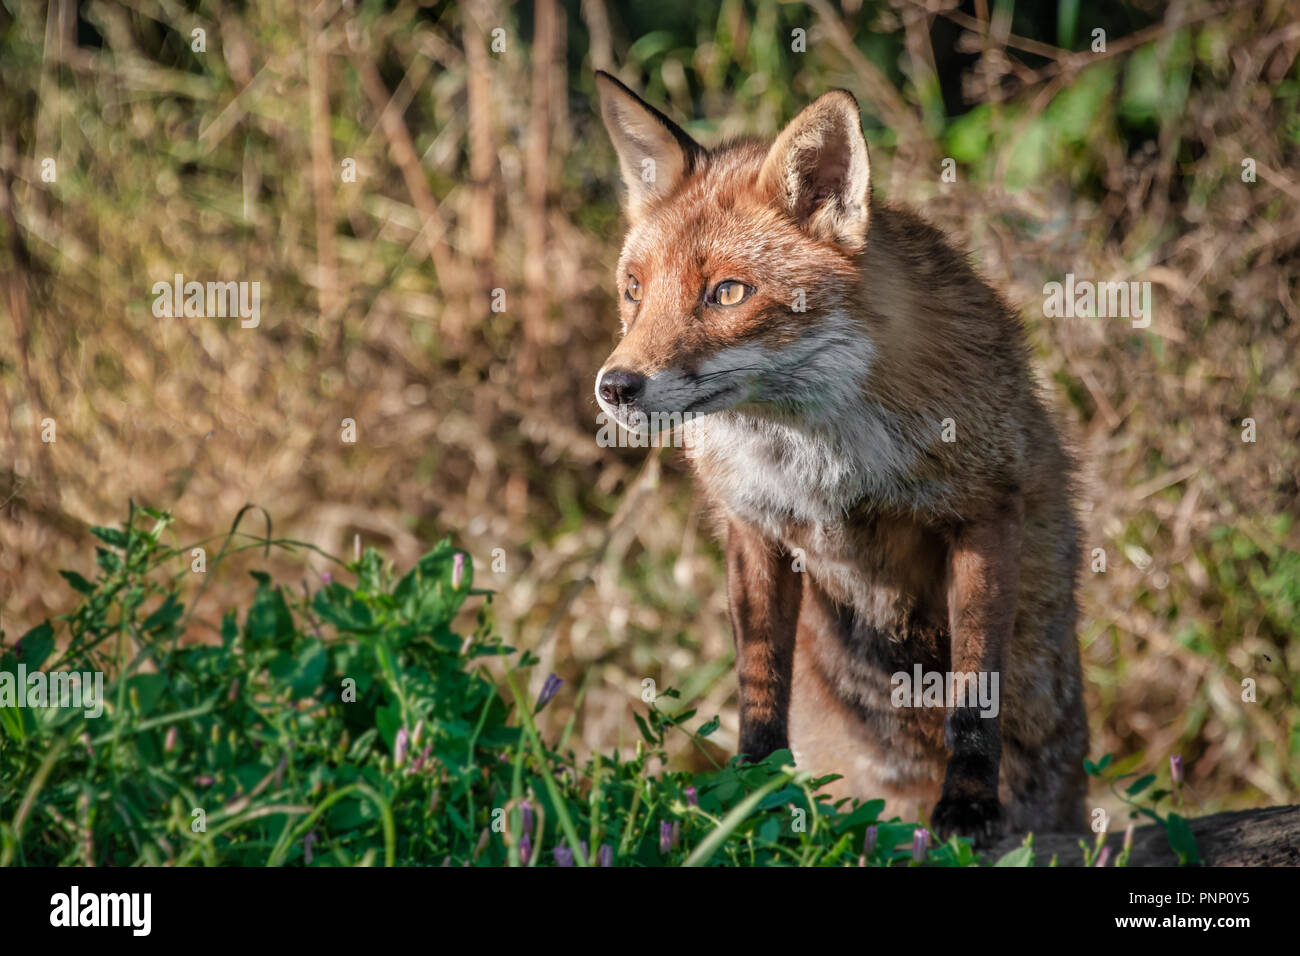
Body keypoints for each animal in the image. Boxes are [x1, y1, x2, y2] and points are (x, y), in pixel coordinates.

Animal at [592, 70, 1086, 842]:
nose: (614, 388)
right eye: (634, 290)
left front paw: (968, 804)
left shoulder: (986, 511)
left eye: (727, 292)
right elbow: (760, 684)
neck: (820, 463)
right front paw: (752, 798)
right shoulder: (754, 528)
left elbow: (976, 689)